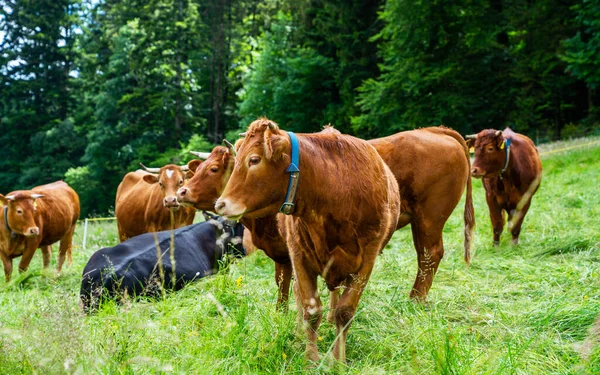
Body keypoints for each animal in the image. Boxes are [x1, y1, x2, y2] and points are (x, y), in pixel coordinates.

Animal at [213, 119, 400, 362]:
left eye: (254, 160)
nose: (220, 204)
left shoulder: (366, 261)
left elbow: (345, 312)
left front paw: (339, 360)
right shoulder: (299, 256)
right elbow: (310, 309)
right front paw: (311, 359)